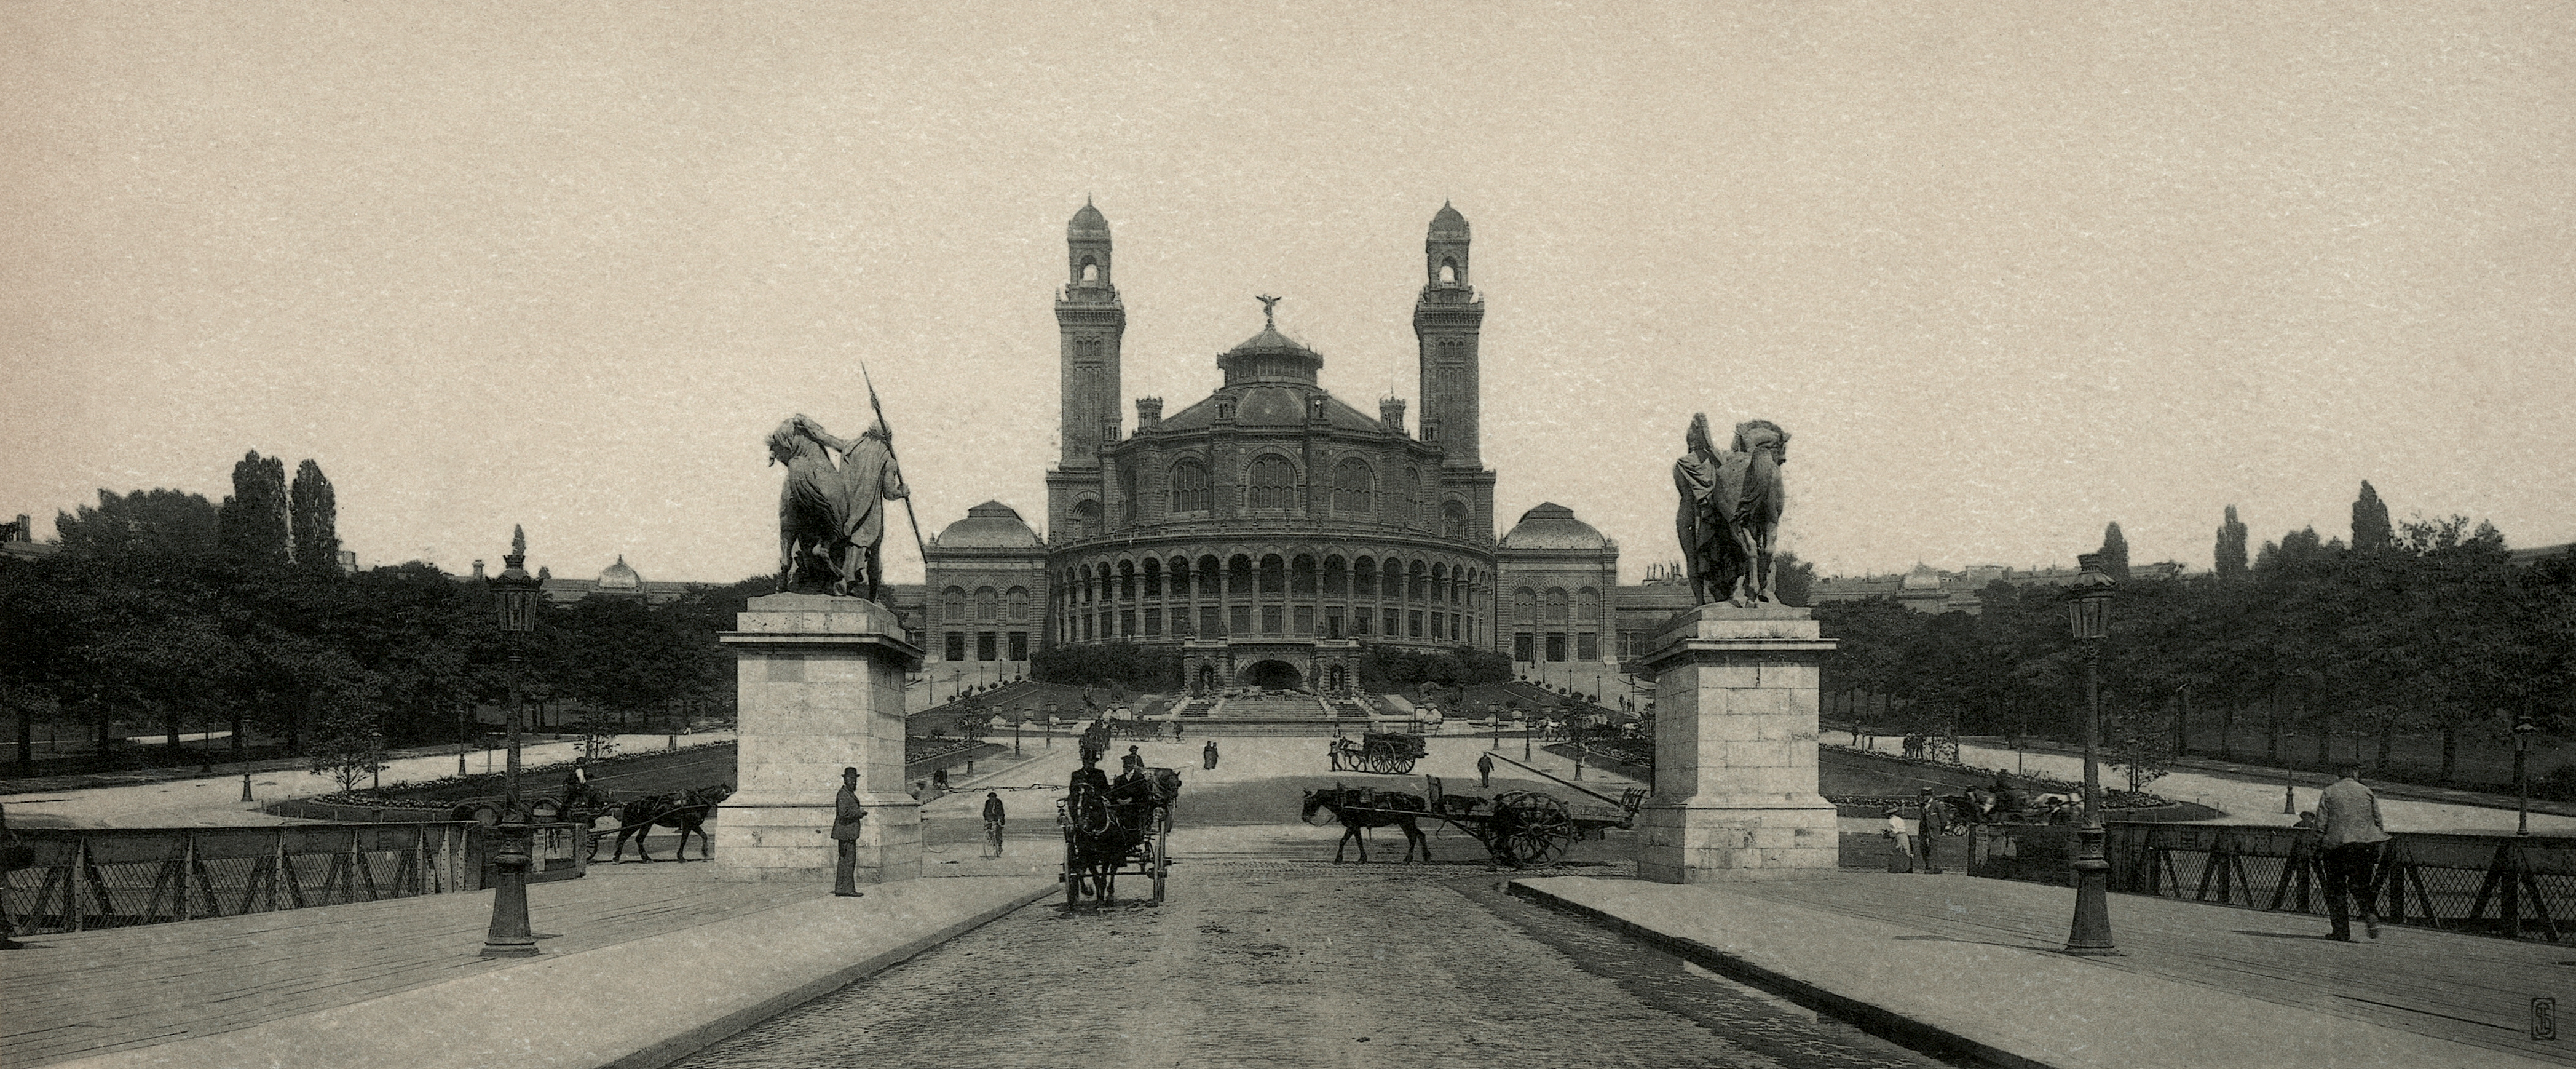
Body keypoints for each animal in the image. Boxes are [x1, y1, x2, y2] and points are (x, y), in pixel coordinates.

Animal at [1308, 788, 1432, 870]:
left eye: (1310, 803)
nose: (1305, 818)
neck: (1344, 801)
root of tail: (1416, 799)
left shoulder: (1352, 825)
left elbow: (1343, 841)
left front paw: (1339, 858)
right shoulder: (1356, 826)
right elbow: (1359, 841)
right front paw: (1362, 858)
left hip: (1406, 822)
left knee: (1413, 838)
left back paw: (1407, 859)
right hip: (1408, 823)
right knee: (1421, 835)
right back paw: (1426, 857)